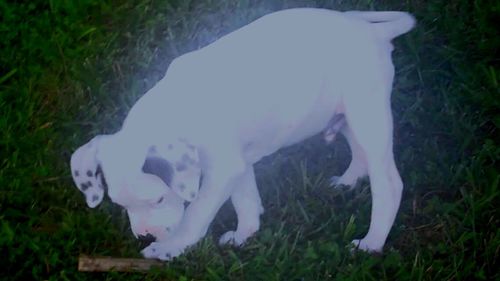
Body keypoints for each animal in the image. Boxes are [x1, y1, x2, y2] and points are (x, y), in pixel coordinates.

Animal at [70, 7, 414, 260]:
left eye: (158, 199)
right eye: (120, 204)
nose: (145, 235)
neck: (177, 111)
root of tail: (374, 32)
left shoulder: (222, 169)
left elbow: (196, 215)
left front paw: (169, 249)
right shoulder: (236, 164)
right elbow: (246, 201)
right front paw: (244, 235)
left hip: (368, 116)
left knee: (389, 184)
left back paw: (372, 243)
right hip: (346, 117)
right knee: (360, 154)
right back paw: (347, 182)